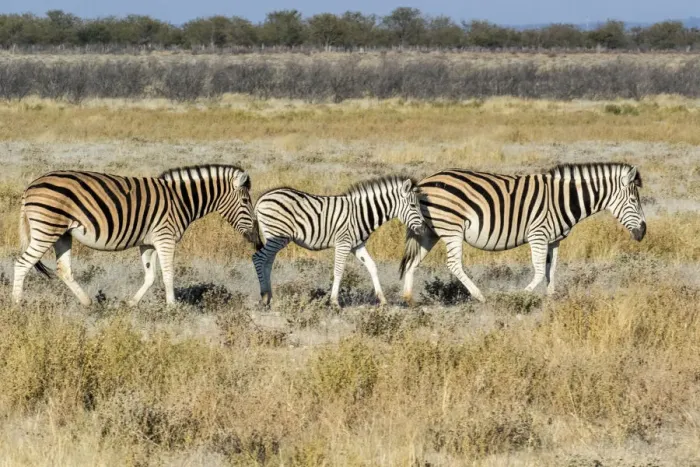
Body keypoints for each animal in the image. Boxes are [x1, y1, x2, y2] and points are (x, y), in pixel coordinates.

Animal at [13, 164, 259, 306]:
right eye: (246, 201)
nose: (256, 239)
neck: (180, 200)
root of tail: (30, 186)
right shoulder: (165, 238)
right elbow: (168, 274)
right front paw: (172, 308)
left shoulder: (148, 243)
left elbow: (150, 276)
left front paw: (131, 304)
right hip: (47, 229)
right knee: (22, 264)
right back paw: (16, 305)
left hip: (62, 234)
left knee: (64, 270)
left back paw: (88, 304)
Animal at [252, 176, 425, 307]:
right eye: (413, 205)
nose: (423, 229)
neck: (361, 213)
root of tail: (261, 199)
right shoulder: (344, 243)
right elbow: (339, 271)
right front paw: (334, 302)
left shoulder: (357, 245)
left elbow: (372, 266)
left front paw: (382, 299)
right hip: (278, 236)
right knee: (258, 258)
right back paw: (264, 296)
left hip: (274, 237)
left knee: (267, 263)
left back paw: (270, 297)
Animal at [399, 163, 646, 303]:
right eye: (634, 201)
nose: (643, 232)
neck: (563, 199)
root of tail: (424, 182)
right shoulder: (538, 235)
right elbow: (538, 272)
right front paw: (520, 297)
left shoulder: (554, 240)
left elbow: (551, 270)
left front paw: (551, 299)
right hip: (452, 229)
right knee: (453, 264)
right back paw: (480, 296)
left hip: (429, 232)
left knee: (412, 262)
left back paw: (408, 300)